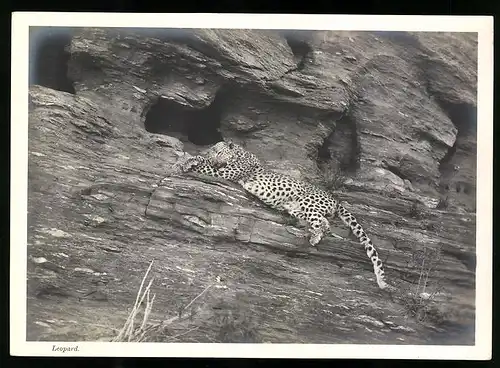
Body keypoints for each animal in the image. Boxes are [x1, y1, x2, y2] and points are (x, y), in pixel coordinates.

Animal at [178, 139, 392, 290]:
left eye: (217, 150)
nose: (211, 153)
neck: (239, 153)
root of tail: (335, 199)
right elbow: (206, 163)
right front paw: (188, 160)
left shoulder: (225, 173)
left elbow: (206, 165)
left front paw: (188, 161)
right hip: (294, 207)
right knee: (324, 222)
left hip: (307, 202)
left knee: (321, 221)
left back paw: (314, 238)